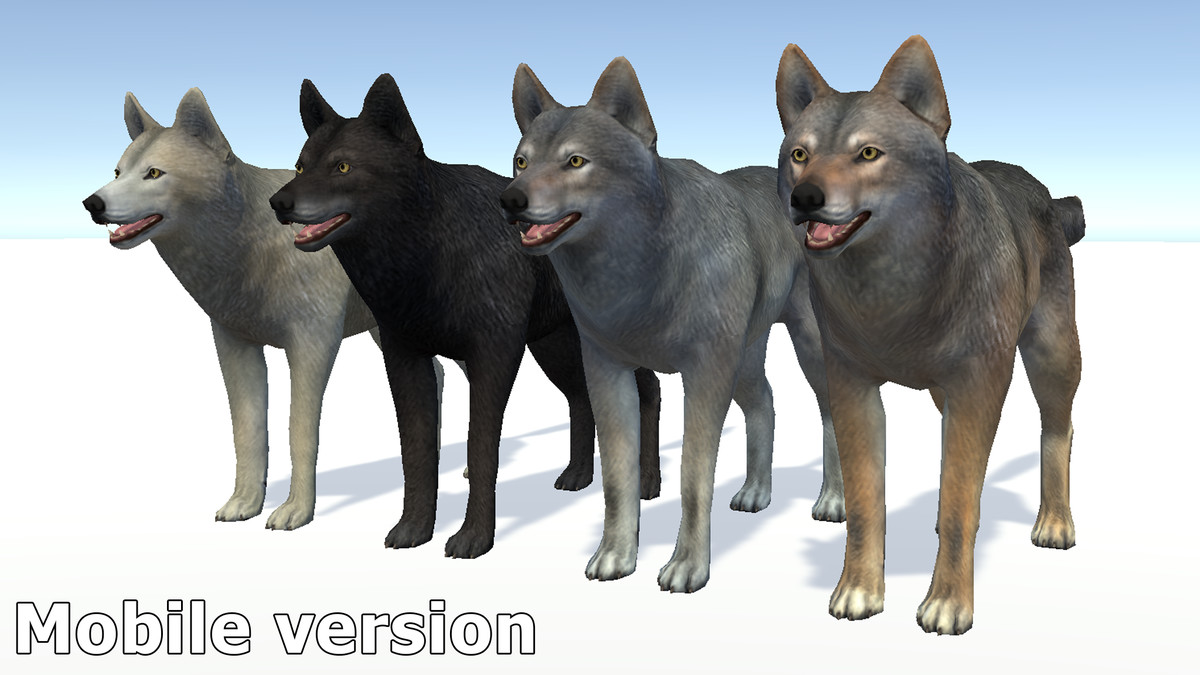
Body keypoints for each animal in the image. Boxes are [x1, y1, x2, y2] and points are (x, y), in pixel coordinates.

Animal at [81, 88, 444, 530]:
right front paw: (244, 502)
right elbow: (248, 430)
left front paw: (296, 511)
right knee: (438, 373)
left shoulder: (312, 345)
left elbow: (299, 432)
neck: (248, 245)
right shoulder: (234, 346)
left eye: (153, 173)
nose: (92, 203)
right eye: (118, 172)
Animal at [268, 74, 662, 559]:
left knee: (649, 388)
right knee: (580, 399)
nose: (278, 203)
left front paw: (474, 537)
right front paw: (414, 529)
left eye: (342, 167)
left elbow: (480, 449)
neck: (425, 257)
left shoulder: (493, 356)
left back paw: (647, 482)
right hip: (554, 348)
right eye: (300, 167)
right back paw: (577, 476)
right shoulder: (405, 358)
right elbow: (417, 452)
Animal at [500, 57, 843, 593]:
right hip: (743, 360)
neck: (636, 274)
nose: (510, 200)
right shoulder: (608, 373)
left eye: (575, 161)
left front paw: (687, 567)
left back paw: (833, 501)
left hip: (801, 348)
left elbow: (692, 477)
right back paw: (756, 492)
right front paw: (615, 556)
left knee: (829, 413)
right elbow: (617, 478)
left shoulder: (702, 376)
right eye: (521, 161)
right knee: (765, 403)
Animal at [776, 35, 1084, 634]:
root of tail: (1045, 193)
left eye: (868, 153)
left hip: (1051, 360)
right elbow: (867, 503)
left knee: (1057, 432)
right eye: (800, 155)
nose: (805, 198)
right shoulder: (851, 387)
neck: (892, 291)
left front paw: (947, 602)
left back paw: (1055, 522)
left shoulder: (977, 386)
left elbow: (961, 502)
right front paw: (859, 590)